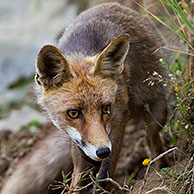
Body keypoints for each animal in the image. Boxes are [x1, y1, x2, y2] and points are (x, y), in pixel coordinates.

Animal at [1, 1, 169, 194]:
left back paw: (160, 168)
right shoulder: (78, 142)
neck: (81, 53)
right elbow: (78, 176)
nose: (102, 151)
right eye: (73, 113)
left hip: (157, 113)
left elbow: (105, 172)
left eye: (106, 108)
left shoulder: (118, 119)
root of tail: (113, 4)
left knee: (152, 139)